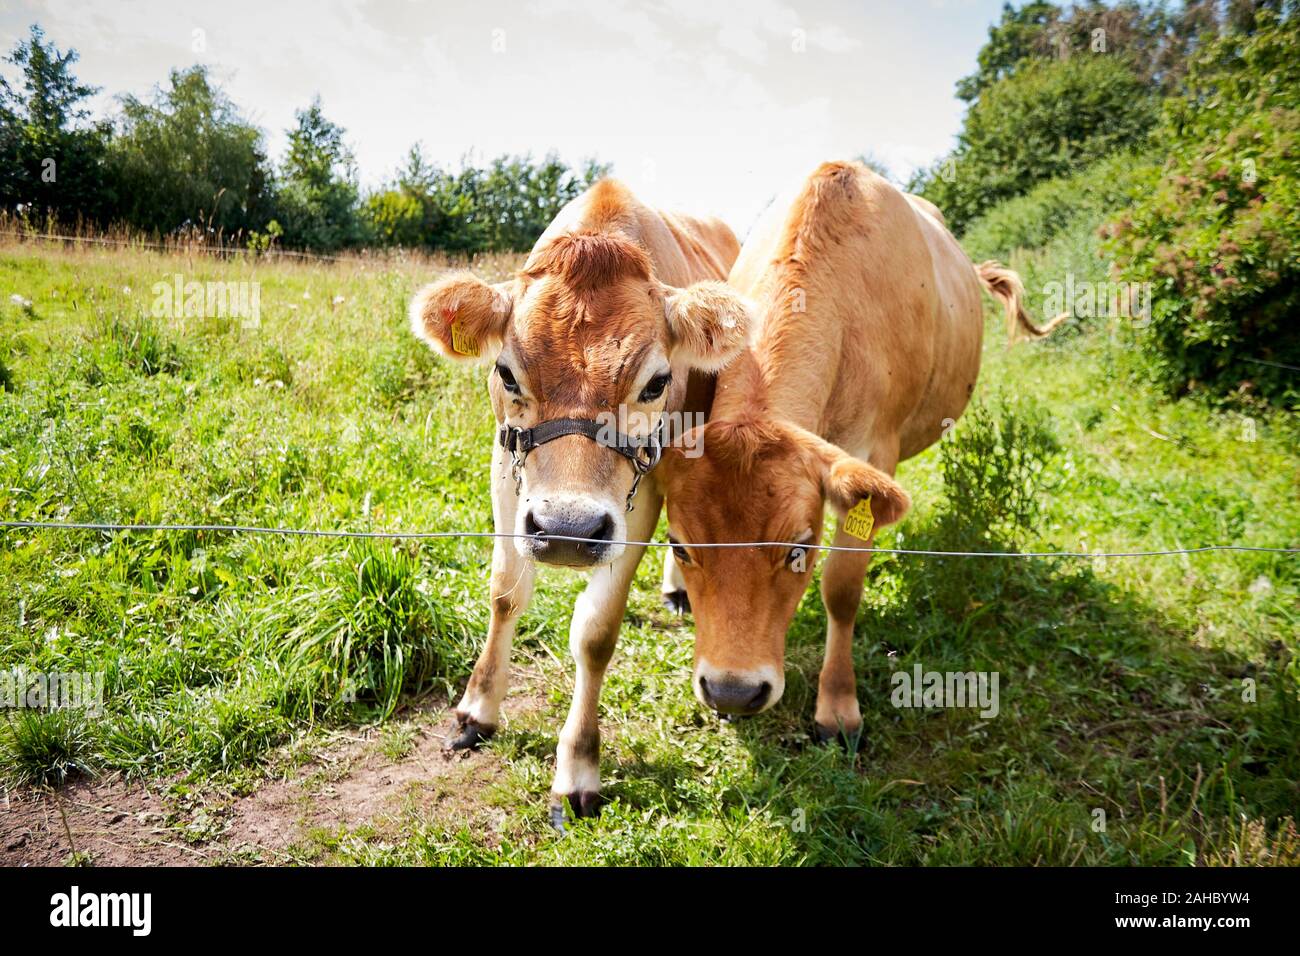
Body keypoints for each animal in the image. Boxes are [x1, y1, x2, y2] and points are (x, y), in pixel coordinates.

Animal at [408, 179, 751, 825]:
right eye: (507, 372)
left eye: (656, 382)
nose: (567, 528)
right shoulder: (505, 468)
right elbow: (505, 592)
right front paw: (476, 710)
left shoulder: (641, 497)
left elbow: (595, 634)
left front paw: (578, 769)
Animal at [656, 160, 1062, 742]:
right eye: (681, 546)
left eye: (799, 548)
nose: (733, 690)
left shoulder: (875, 451)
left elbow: (843, 586)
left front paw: (838, 705)